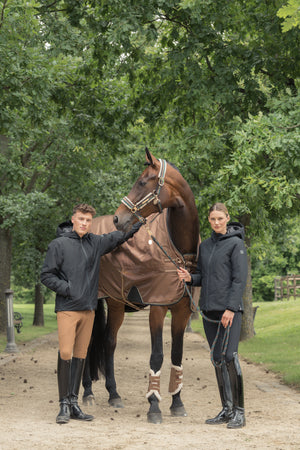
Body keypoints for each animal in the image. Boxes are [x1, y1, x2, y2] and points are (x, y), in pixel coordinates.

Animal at [84, 149, 199, 424]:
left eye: (142, 182)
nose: (118, 218)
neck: (178, 251)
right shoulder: (157, 307)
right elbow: (157, 355)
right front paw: (154, 406)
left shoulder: (181, 312)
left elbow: (176, 355)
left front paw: (177, 403)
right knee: (84, 343)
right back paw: (87, 394)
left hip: (116, 304)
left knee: (109, 342)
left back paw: (114, 395)